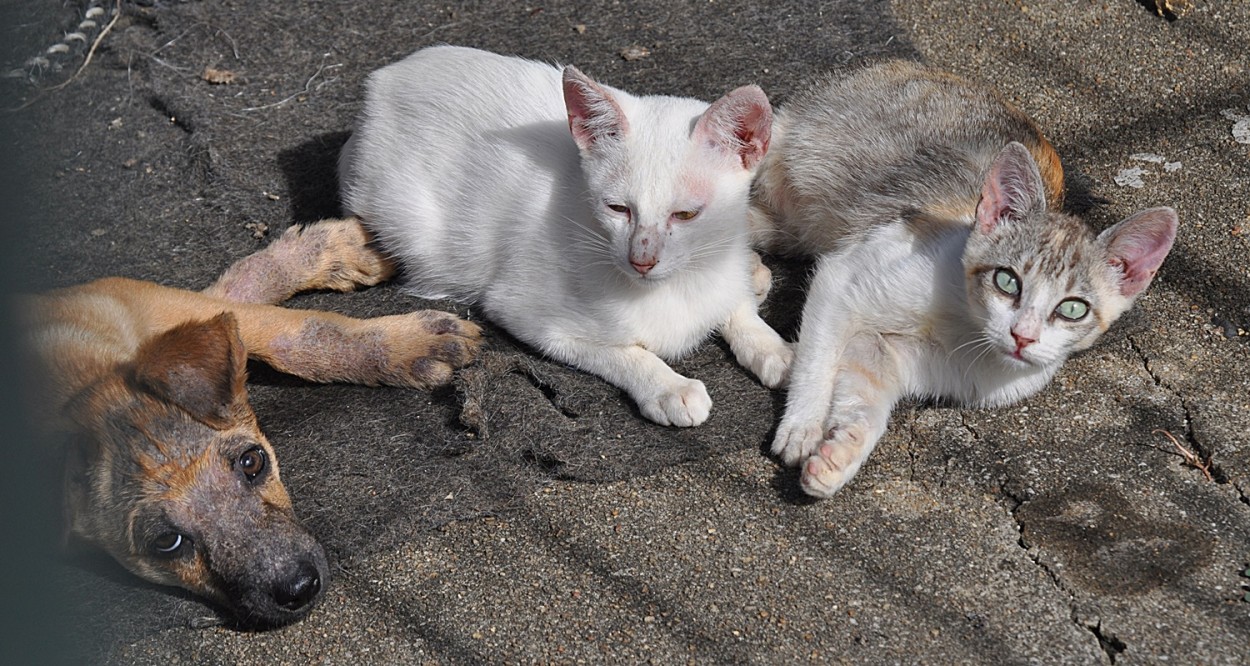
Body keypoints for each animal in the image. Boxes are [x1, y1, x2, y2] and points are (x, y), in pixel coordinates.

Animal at [24, 217, 482, 622]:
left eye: (252, 462)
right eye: (167, 542)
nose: (299, 589)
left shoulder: (144, 309)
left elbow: (300, 333)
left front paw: (402, 347)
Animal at [340, 46, 790, 422]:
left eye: (685, 214)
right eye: (617, 208)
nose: (641, 260)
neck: (677, 285)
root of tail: (384, 78)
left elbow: (736, 307)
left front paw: (776, 350)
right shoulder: (525, 313)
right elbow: (624, 353)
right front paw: (668, 388)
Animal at [750, 62, 1180, 494]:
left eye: (1073, 309)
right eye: (1008, 281)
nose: (1023, 336)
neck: (965, 328)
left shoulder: (889, 353)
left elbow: (865, 393)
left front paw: (841, 453)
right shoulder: (842, 278)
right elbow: (818, 356)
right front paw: (803, 426)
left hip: (790, 230)